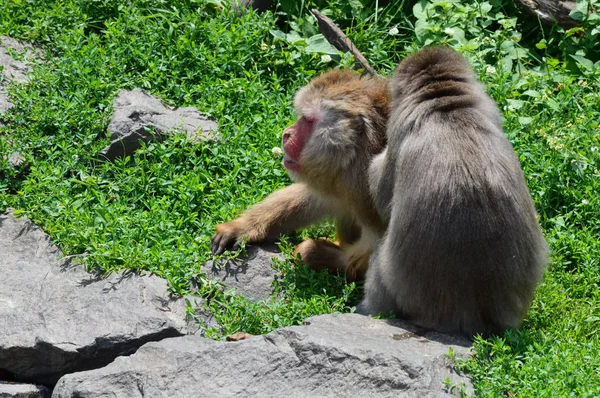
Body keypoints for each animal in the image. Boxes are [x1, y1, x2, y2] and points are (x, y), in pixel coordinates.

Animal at [211, 69, 390, 280]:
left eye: (308, 120)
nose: (286, 133)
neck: (361, 154)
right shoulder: (344, 178)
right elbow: (317, 198)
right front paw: (242, 227)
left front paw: (312, 253)